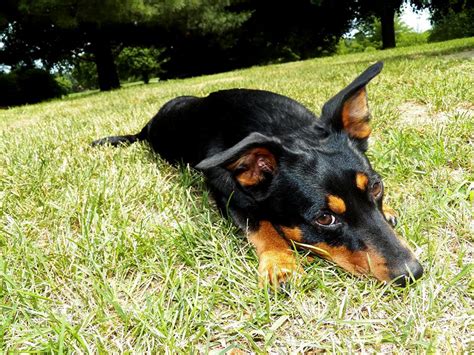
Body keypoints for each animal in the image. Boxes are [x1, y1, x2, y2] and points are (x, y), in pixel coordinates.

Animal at [91, 62, 422, 290]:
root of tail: (147, 126)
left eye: (377, 187)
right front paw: (281, 264)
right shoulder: (227, 193)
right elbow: (261, 223)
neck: (283, 127)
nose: (412, 273)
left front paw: (387, 210)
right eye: (325, 219)